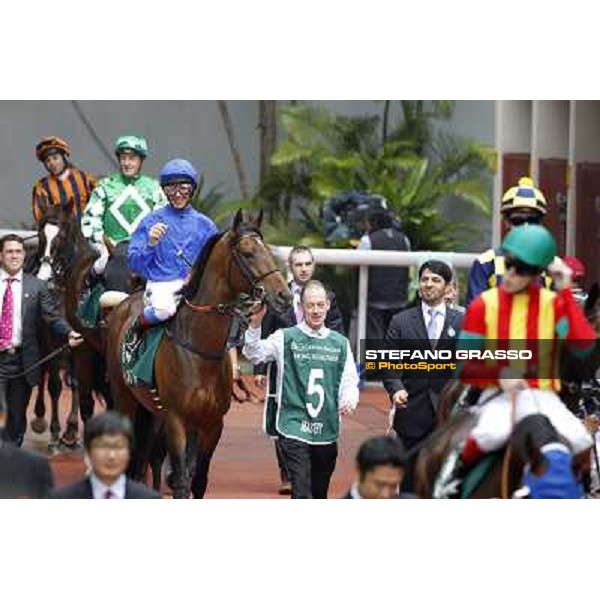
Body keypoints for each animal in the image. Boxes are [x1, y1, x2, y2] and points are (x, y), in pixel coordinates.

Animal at [105, 209, 292, 500]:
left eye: (268, 251)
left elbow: (199, 480)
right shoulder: (176, 421)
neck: (200, 351)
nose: (284, 295)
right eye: (247, 253)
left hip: (153, 411)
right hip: (124, 396)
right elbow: (182, 482)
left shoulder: (212, 423)